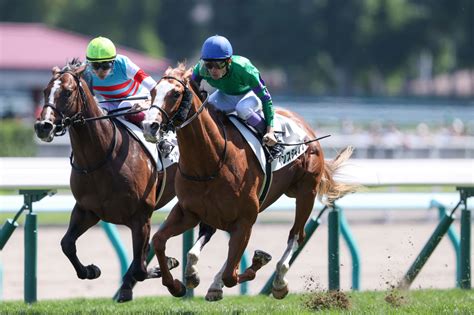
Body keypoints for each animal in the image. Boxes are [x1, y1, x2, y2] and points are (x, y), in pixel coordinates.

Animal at [32, 59, 180, 304]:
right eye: (45, 91)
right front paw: (91, 270)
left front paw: (166, 265)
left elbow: (140, 267)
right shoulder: (87, 210)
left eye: (68, 92)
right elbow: (67, 244)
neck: (101, 157)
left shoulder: (141, 216)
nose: (43, 126)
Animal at [143, 63, 358, 302]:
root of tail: (305, 127)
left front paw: (259, 260)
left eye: (175, 93)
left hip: (305, 192)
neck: (210, 161)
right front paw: (176, 285)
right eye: (153, 91)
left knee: (296, 234)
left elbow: (231, 275)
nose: (149, 126)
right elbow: (159, 240)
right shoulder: (188, 211)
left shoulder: (245, 219)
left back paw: (279, 282)